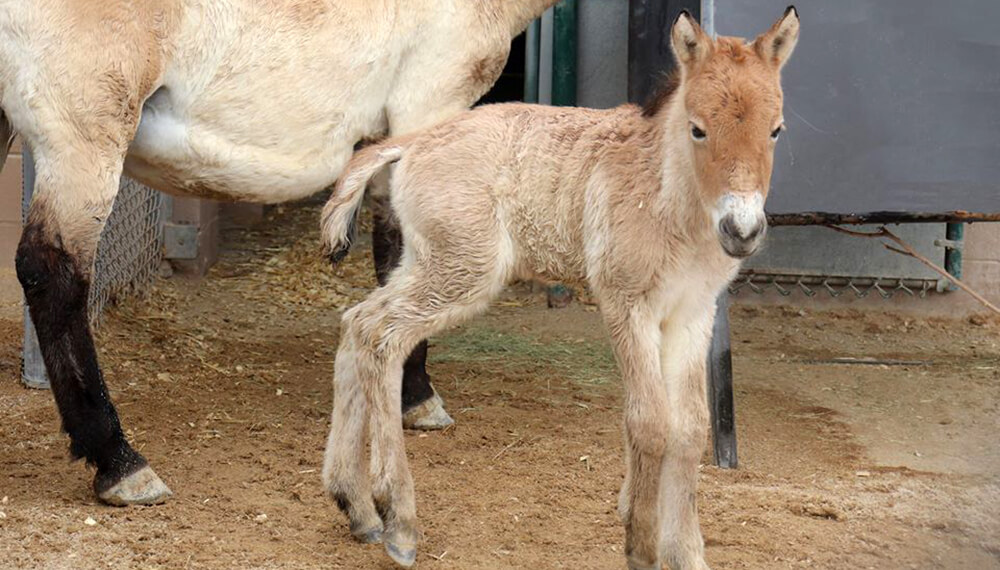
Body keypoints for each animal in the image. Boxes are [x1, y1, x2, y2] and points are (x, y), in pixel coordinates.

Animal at [0, 1, 560, 506]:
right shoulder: (428, 106)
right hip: (85, 126)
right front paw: (420, 397)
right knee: (51, 273)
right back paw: (121, 464)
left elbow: (391, 255)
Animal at [324, 7, 800, 564]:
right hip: (461, 271)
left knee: (356, 325)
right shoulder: (625, 303)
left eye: (776, 130)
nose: (741, 230)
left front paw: (685, 553)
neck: (669, 202)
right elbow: (649, 422)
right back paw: (398, 518)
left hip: (429, 263)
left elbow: (689, 427)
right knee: (381, 336)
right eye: (697, 130)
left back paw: (355, 506)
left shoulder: (692, 312)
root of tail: (412, 142)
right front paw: (640, 544)